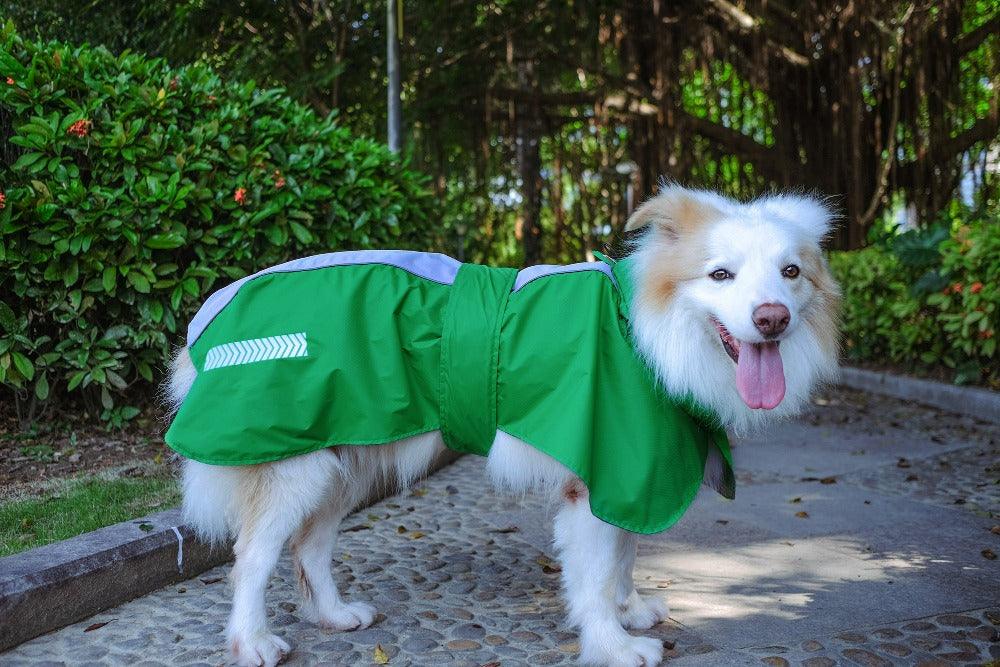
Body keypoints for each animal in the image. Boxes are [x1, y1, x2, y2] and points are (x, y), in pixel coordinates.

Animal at [168, 187, 840, 667]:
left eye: (790, 273)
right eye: (720, 274)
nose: (772, 319)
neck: (646, 333)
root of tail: (213, 311)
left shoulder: (626, 476)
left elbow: (624, 558)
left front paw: (629, 612)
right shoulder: (598, 476)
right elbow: (597, 576)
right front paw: (614, 646)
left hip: (348, 463)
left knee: (310, 546)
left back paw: (332, 616)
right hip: (293, 467)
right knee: (253, 557)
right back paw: (252, 642)